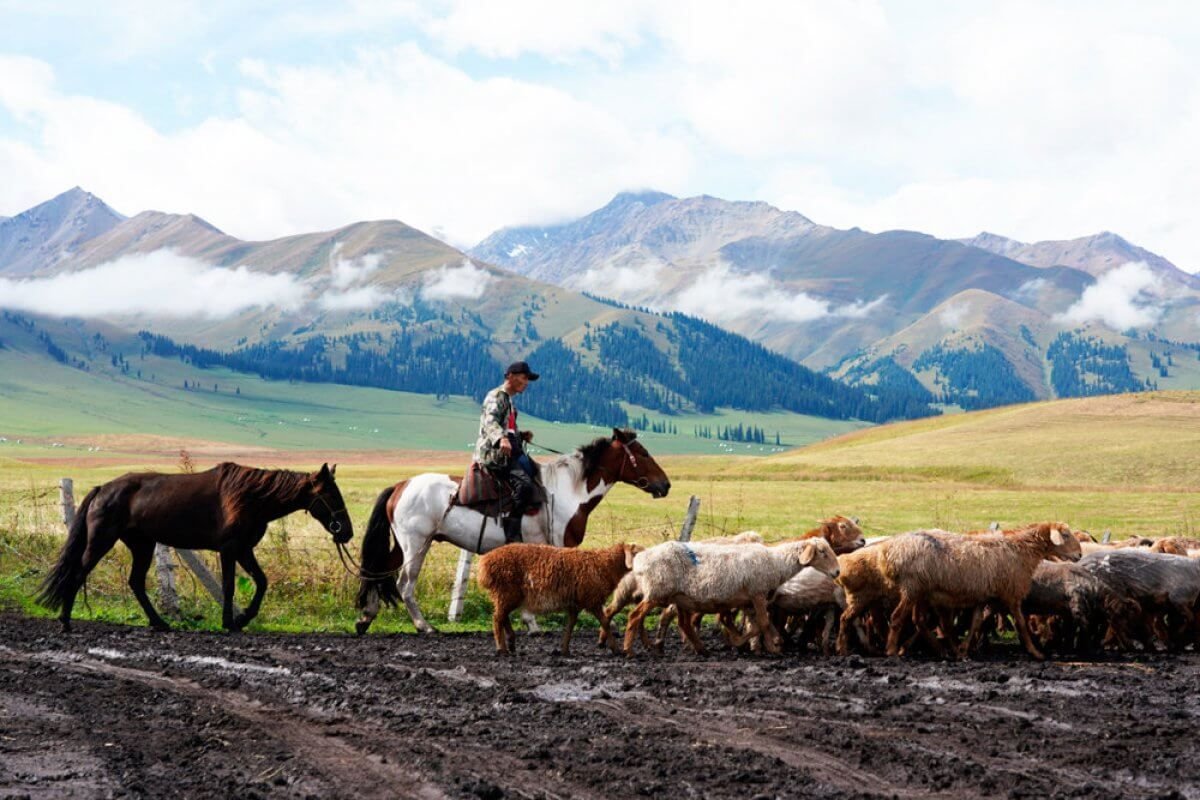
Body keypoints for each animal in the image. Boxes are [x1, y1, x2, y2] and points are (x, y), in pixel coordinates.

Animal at [39, 462, 350, 633]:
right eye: (331, 495)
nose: (347, 531)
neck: (251, 497)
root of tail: (103, 489)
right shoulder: (230, 549)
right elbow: (229, 586)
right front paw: (231, 622)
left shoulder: (244, 549)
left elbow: (261, 582)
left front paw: (242, 618)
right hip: (102, 540)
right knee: (79, 574)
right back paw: (65, 621)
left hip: (142, 545)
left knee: (136, 582)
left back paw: (159, 623)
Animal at [355, 429, 676, 633]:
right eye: (643, 453)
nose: (665, 484)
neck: (568, 491)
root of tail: (402, 485)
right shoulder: (557, 545)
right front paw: (538, 622)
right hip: (416, 544)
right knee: (405, 584)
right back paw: (424, 626)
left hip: (403, 546)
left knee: (378, 571)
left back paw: (366, 618)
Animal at [480, 542, 648, 652]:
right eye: (637, 553)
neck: (603, 565)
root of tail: (484, 563)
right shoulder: (592, 600)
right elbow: (605, 622)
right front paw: (615, 649)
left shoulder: (575, 603)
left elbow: (570, 626)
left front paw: (564, 650)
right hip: (506, 592)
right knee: (497, 618)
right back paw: (502, 648)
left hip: (506, 595)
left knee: (502, 616)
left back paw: (511, 642)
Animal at [624, 537, 840, 657]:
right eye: (822, 551)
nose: (837, 572)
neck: (776, 563)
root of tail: (640, 559)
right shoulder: (757, 592)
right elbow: (762, 623)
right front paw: (769, 645)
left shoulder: (752, 600)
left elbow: (757, 623)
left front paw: (771, 643)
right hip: (658, 590)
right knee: (635, 616)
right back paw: (629, 650)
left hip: (680, 597)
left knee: (684, 624)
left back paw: (701, 649)